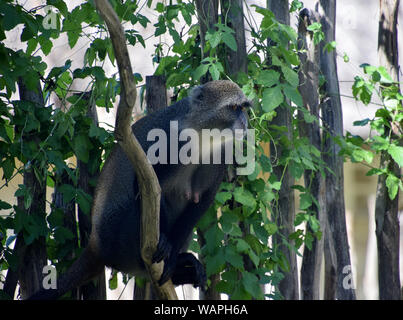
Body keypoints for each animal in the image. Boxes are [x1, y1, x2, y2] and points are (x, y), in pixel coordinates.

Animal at [28, 80, 251, 300]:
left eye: (244, 109)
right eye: (233, 108)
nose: (245, 122)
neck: (203, 134)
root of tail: (96, 245)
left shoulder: (223, 153)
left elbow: (200, 201)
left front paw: (172, 256)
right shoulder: (170, 140)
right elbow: (146, 186)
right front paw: (165, 245)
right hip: (119, 235)